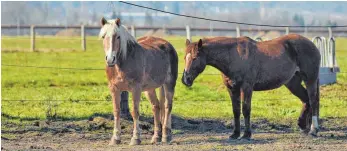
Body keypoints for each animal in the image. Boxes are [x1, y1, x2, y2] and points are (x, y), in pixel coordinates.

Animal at [99, 17, 178, 145]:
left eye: (118, 36)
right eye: (103, 36)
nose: (110, 59)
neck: (124, 62)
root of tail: (167, 44)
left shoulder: (136, 89)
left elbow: (135, 111)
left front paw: (135, 138)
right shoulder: (114, 89)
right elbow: (116, 111)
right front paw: (115, 138)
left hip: (169, 83)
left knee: (167, 106)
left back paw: (166, 136)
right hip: (149, 89)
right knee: (156, 107)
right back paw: (156, 137)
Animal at [184, 34, 322, 140]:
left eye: (195, 58)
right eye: (185, 57)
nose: (186, 79)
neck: (234, 56)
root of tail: (312, 45)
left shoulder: (246, 87)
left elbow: (246, 110)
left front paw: (246, 134)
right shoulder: (232, 89)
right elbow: (236, 110)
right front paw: (235, 134)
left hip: (310, 80)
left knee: (313, 101)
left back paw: (313, 129)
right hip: (293, 83)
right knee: (306, 100)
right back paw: (303, 126)